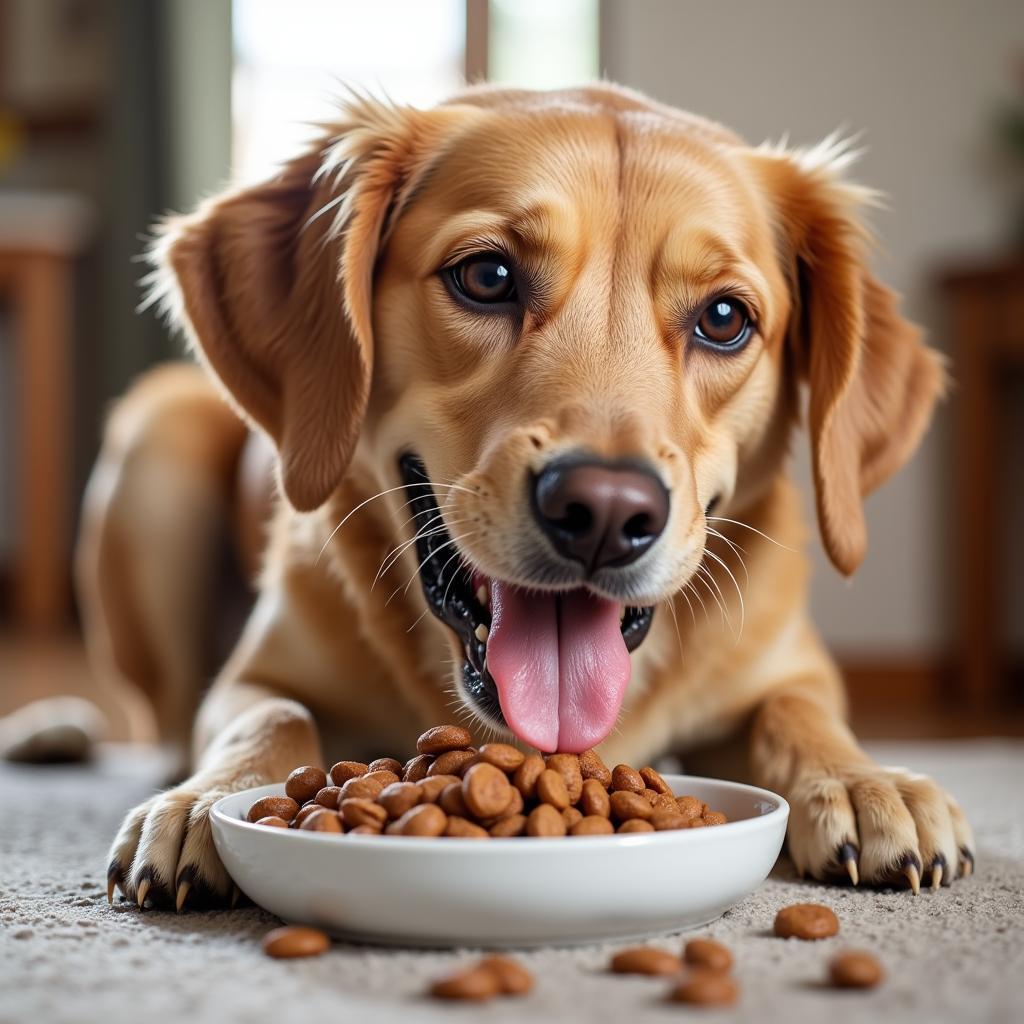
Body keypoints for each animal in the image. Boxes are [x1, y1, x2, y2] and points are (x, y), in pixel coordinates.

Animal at [75, 83, 970, 909]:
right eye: (487, 275)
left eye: (724, 318)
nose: (605, 513)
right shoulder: (256, 675)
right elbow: (269, 719)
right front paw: (207, 800)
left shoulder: (787, 672)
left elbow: (799, 715)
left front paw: (863, 781)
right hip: (157, 441)